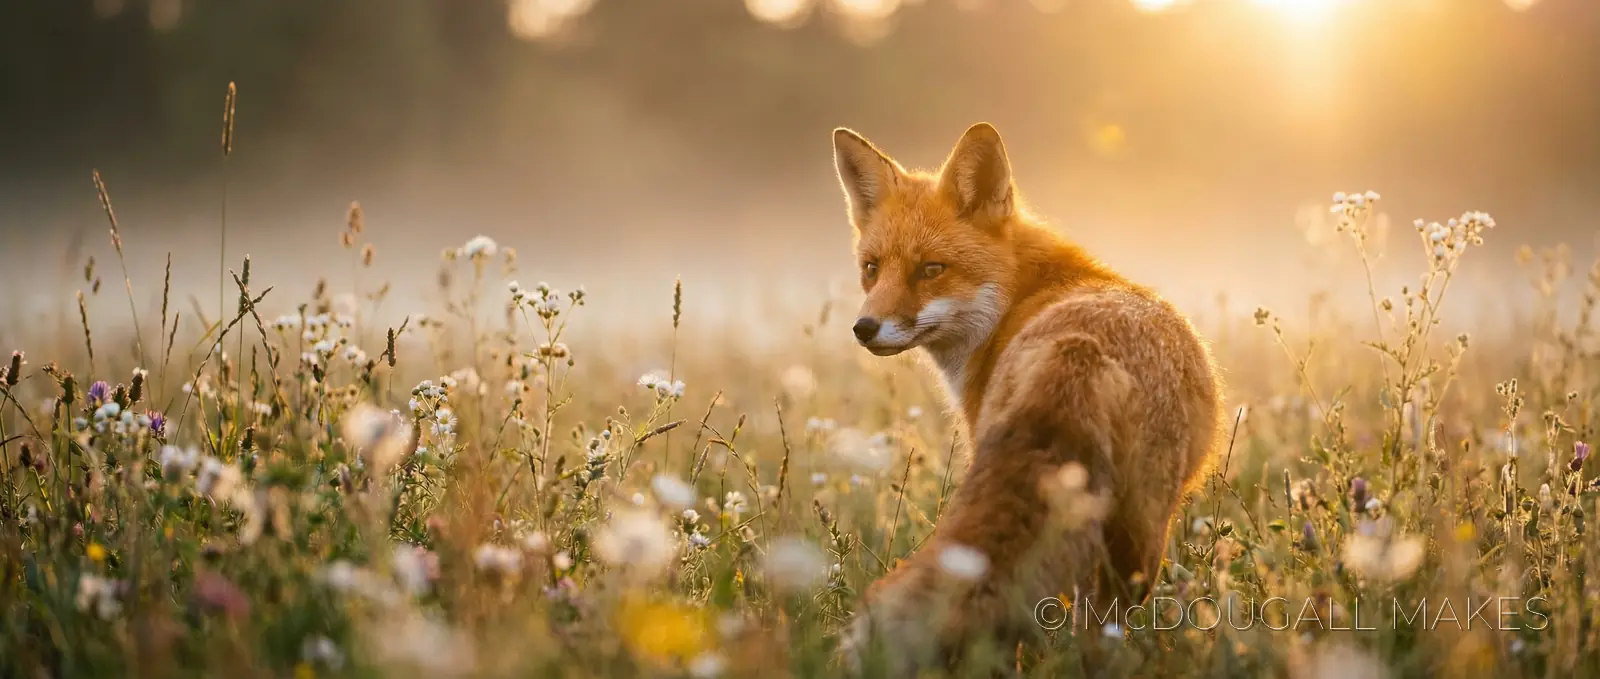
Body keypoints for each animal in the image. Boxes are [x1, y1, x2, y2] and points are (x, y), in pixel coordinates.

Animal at [830, 122, 1226, 676]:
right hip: (1136, 533)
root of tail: (1078, 348)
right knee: (1102, 623)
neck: (1022, 295)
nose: (864, 328)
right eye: (871, 268)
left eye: (931, 269)